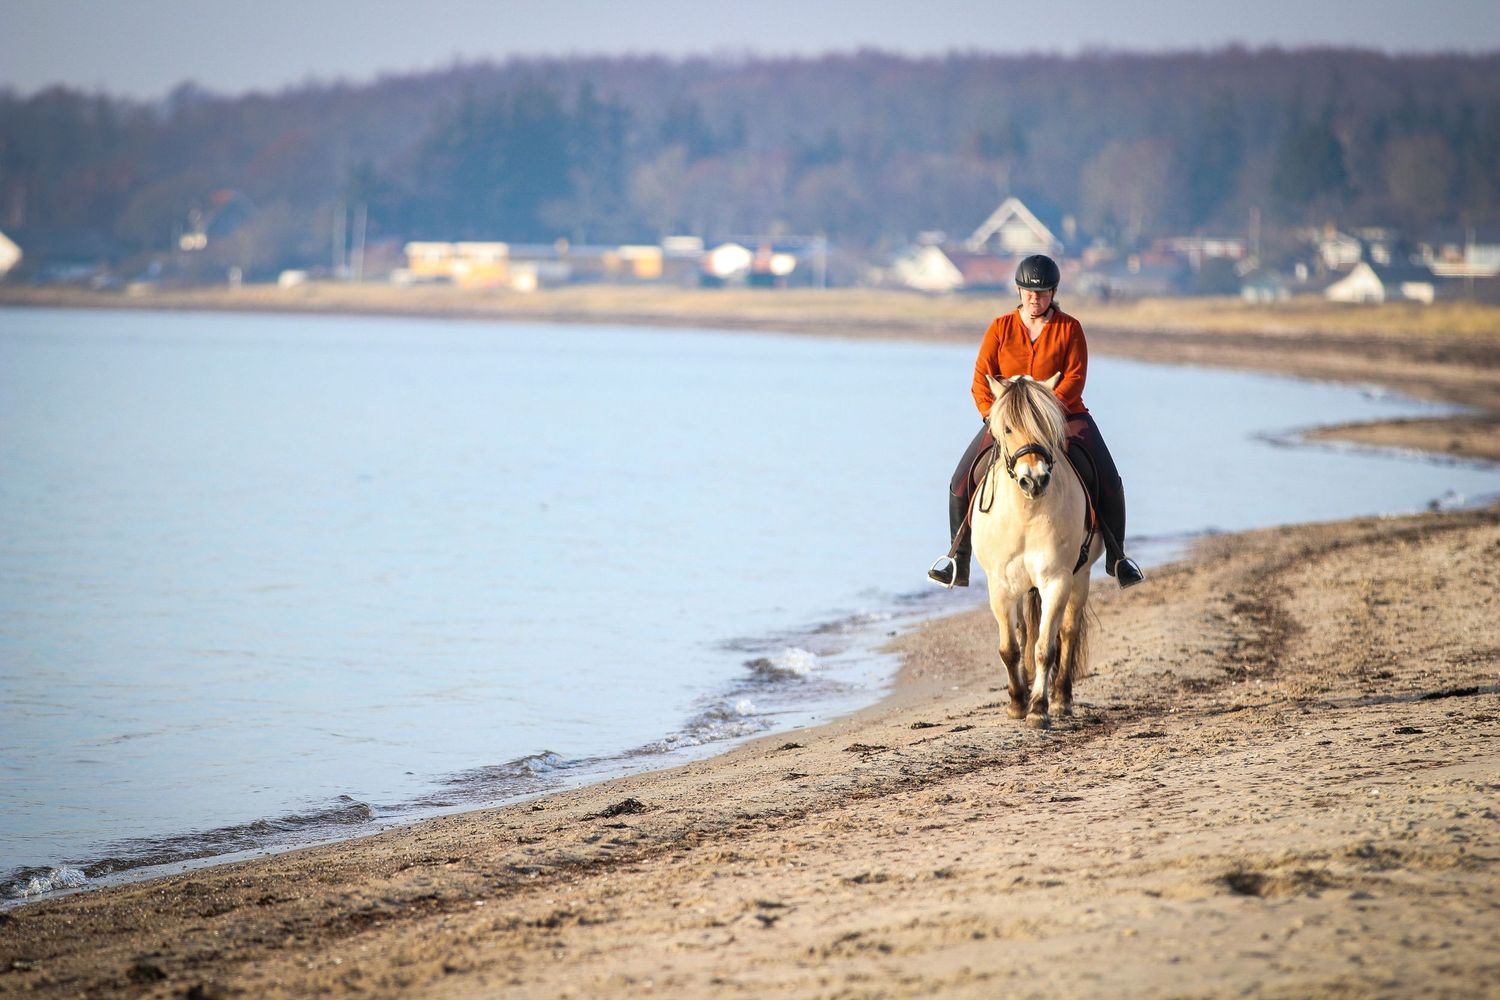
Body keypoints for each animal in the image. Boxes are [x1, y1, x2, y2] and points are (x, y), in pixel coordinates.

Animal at [970, 373, 1102, 729]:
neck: (1026, 513)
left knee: (1068, 633)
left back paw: (1060, 699)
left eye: (1048, 425)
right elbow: (1010, 648)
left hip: (1080, 576)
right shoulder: (1000, 585)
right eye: (1007, 428)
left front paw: (1039, 708)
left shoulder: (1056, 579)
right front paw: (1017, 703)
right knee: (1023, 632)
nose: (1035, 479)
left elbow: (1046, 648)